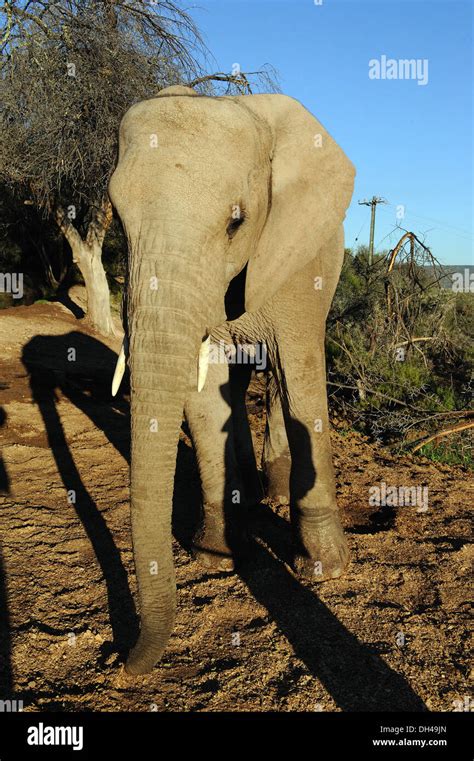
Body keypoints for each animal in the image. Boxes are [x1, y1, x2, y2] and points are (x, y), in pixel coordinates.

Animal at [106, 86, 352, 672]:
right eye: (118, 220)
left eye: (235, 222)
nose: (120, 660)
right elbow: (206, 384)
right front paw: (215, 553)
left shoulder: (298, 251)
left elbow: (301, 370)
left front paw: (324, 569)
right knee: (237, 386)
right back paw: (253, 494)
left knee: (283, 379)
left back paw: (277, 494)